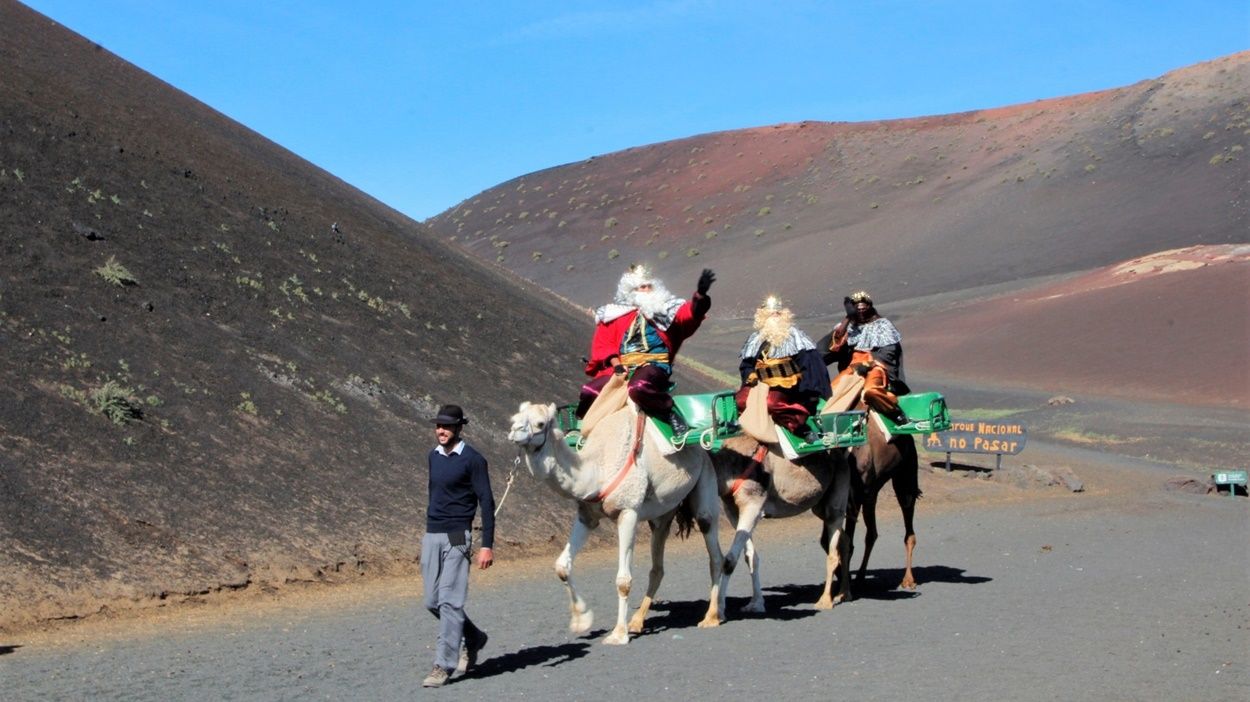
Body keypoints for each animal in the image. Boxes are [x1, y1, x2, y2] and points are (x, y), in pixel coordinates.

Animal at [505, 402, 725, 644]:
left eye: (540, 423)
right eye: (515, 418)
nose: (514, 432)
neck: (597, 469)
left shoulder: (628, 511)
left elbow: (623, 580)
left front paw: (618, 634)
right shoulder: (587, 516)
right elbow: (562, 566)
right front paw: (582, 620)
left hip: (705, 479)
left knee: (713, 548)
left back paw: (712, 616)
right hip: (664, 512)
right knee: (658, 565)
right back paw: (637, 622)